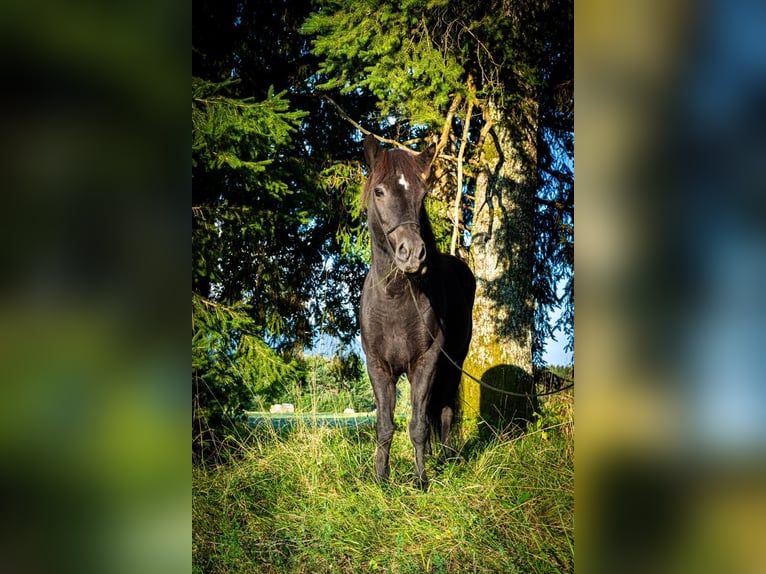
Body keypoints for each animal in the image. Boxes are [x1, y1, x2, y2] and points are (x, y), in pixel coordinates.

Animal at [360, 136, 474, 490]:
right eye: (379, 191)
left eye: (422, 195)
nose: (412, 254)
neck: (395, 299)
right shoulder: (378, 366)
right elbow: (385, 426)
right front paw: (381, 479)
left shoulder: (427, 362)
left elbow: (419, 424)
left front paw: (421, 480)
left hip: (453, 366)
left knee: (446, 410)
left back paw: (448, 459)